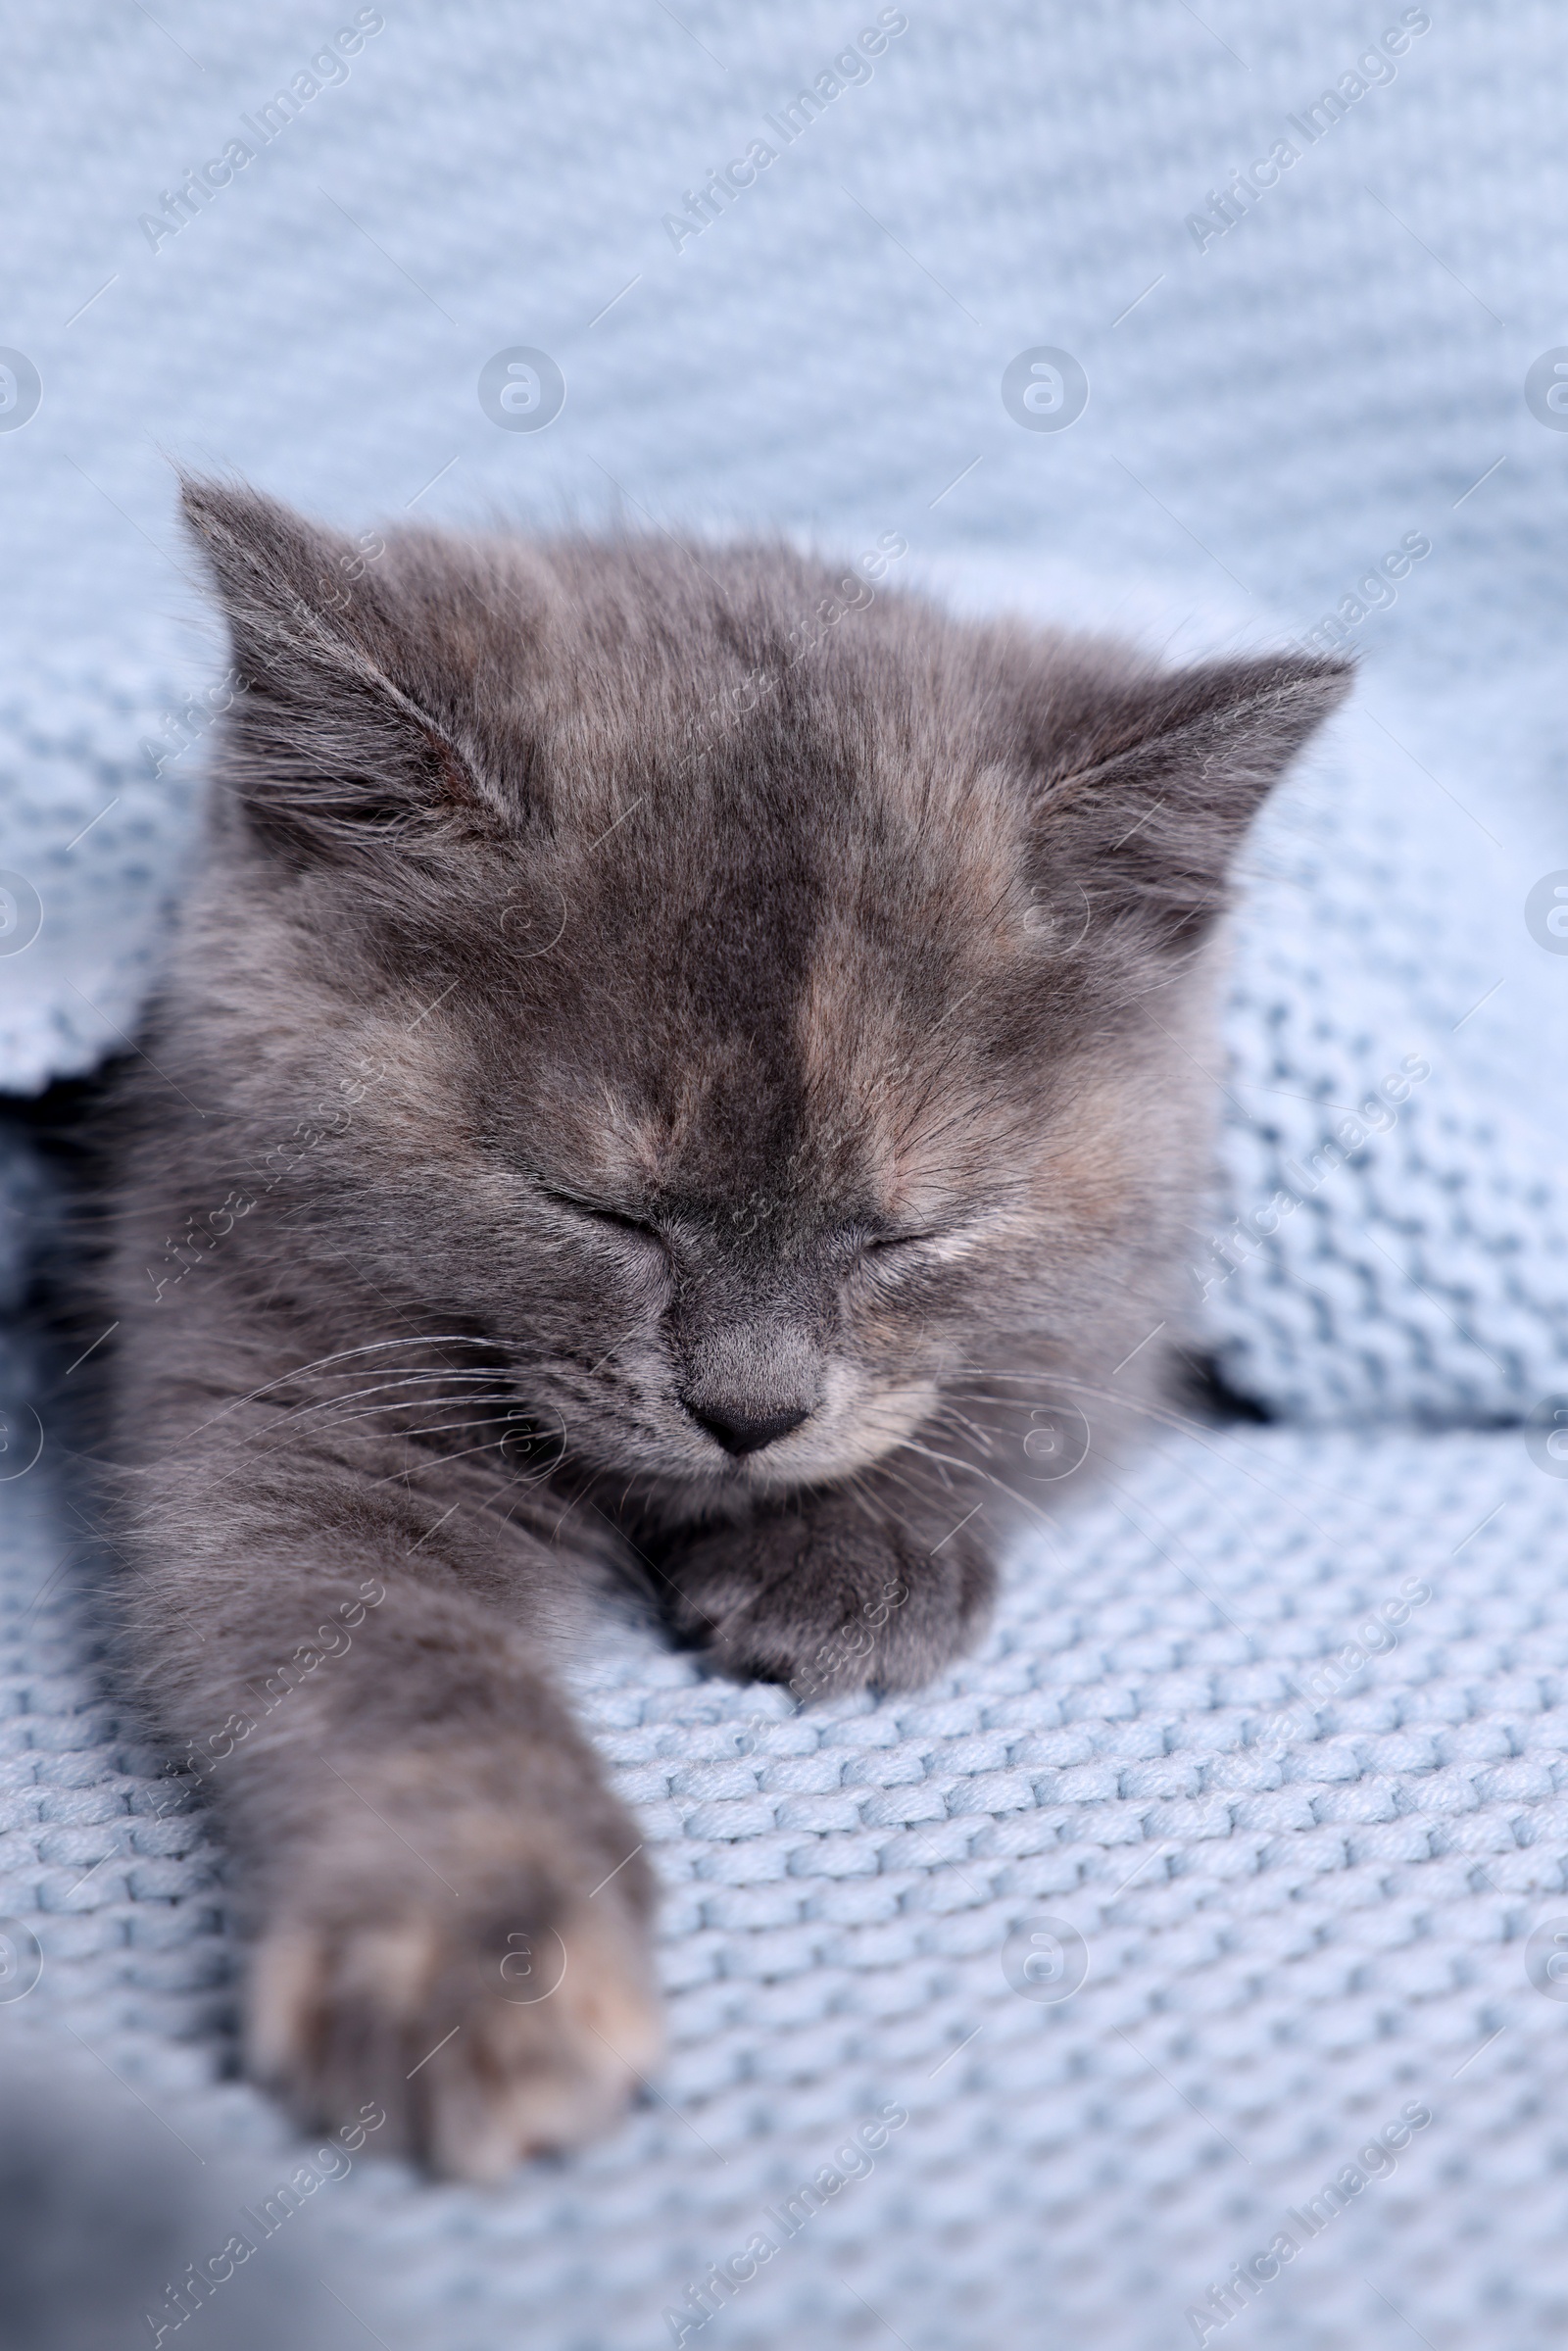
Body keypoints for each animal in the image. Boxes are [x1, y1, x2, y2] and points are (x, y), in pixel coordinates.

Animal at [101, 481, 1353, 2181]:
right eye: (596, 1207)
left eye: (907, 1230)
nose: (748, 1409)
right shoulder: (270, 1381)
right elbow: (386, 1657)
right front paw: (467, 1945)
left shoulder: (1114, 1320)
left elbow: (1018, 1391)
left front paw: (848, 1557)